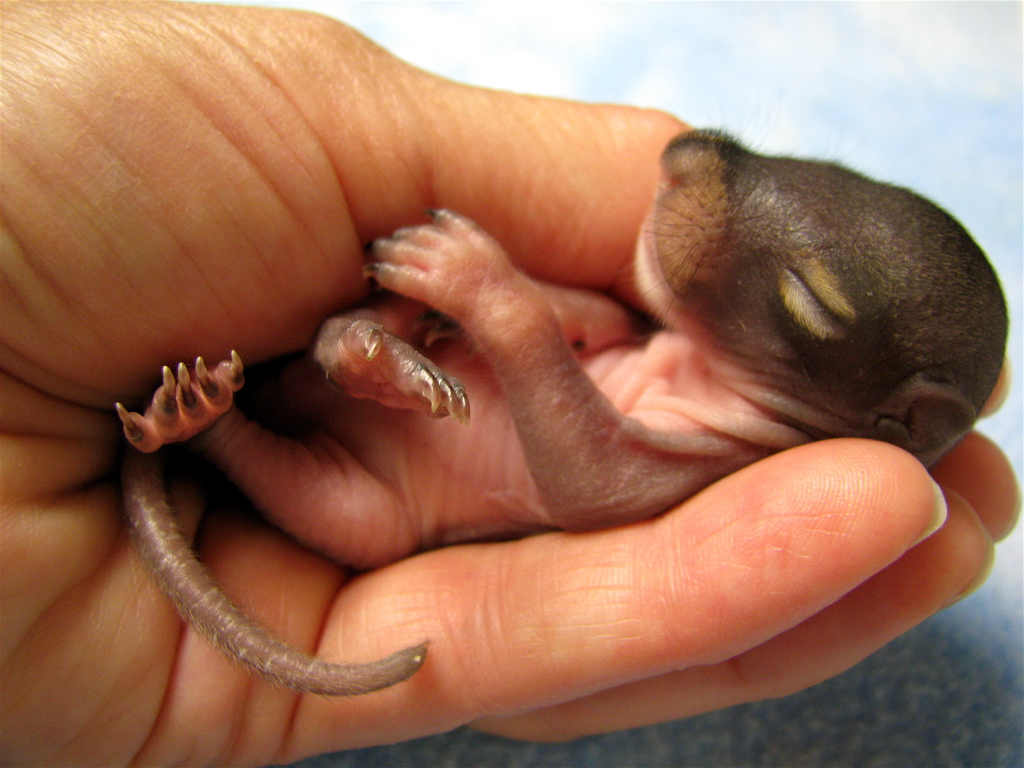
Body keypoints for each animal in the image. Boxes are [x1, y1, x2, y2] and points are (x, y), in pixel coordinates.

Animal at [116, 131, 1003, 696]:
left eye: (813, 300)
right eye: (823, 164)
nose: (686, 153)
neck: (696, 364)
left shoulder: (715, 461)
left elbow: (592, 481)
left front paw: (476, 278)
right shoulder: (630, 323)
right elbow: (591, 315)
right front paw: (463, 307)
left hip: (360, 511)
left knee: (310, 490)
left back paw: (212, 416)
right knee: (336, 348)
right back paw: (380, 354)